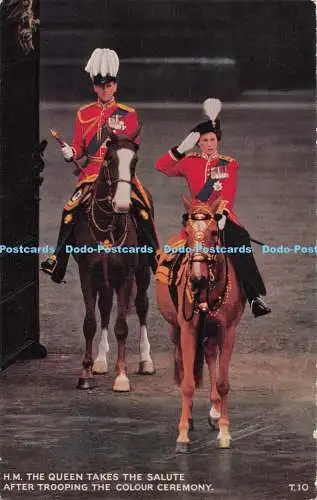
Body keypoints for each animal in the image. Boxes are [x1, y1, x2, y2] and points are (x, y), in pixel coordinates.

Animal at [73, 128, 154, 390]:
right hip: (104, 279)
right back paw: (100, 361)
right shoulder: (88, 274)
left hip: (141, 273)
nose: (121, 204)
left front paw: (121, 376)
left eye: (134, 161)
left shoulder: (126, 275)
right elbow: (90, 322)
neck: (107, 226)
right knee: (106, 309)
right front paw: (86, 373)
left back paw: (146, 360)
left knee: (141, 307)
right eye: (109, 159)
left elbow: (122, 327)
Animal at [156, 196, 244, 454]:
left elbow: (223, 383)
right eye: (188, 231)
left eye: (214, 232)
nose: (196, 278)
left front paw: (224, 432)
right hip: (175, 330)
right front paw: (183, 435)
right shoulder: (188, 329)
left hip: (211, 332)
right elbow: (187, 384)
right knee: (181, 363)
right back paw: (191, 417)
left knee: (210, 355)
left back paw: (214, 412)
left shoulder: (228, 331)